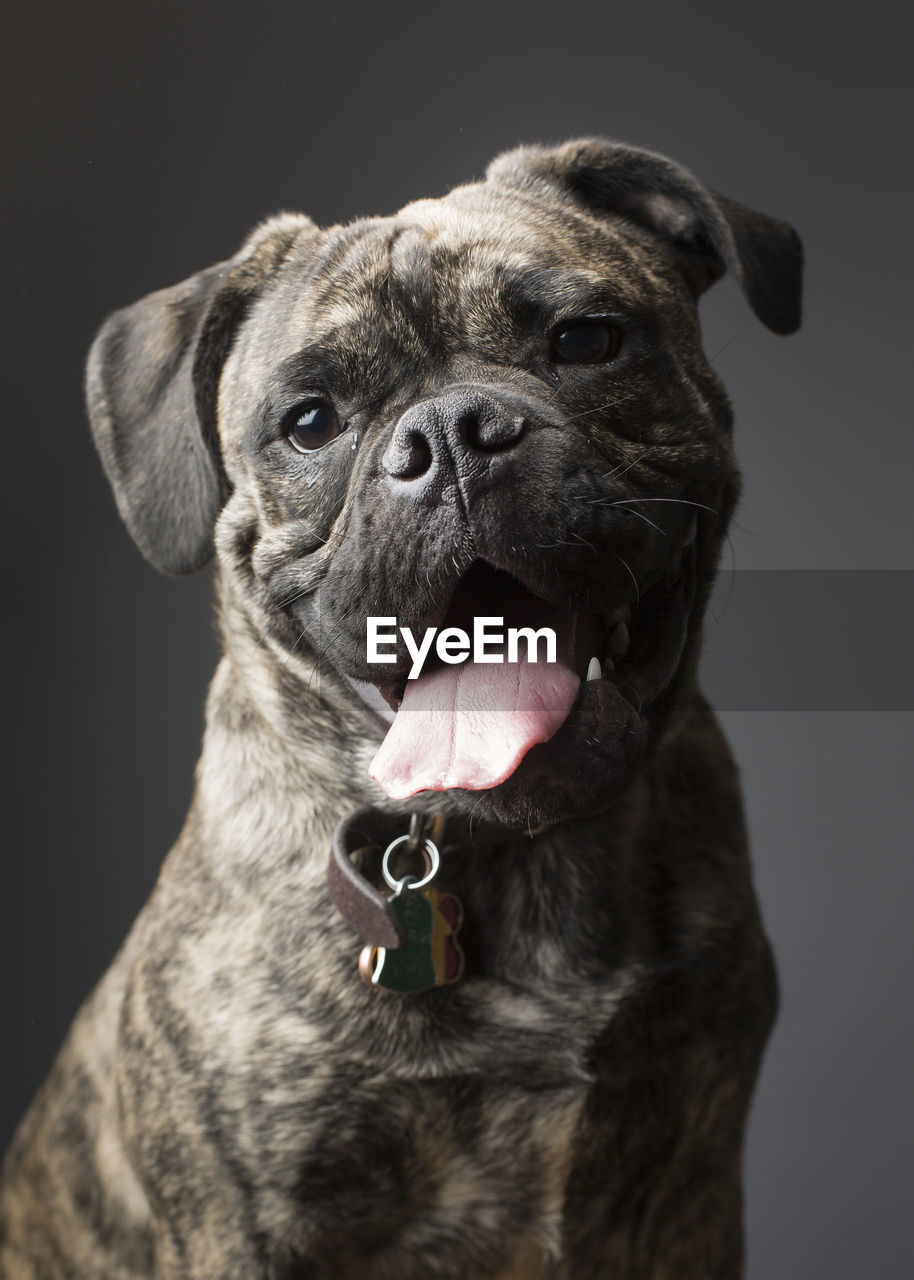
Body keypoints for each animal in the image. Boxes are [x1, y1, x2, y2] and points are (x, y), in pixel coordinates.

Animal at [0, 142, 798, 1280]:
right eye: (309, 423)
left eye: (584, 340)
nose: (450, 433)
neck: (513, 849)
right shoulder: (247, 1228)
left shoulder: (688, 1197)